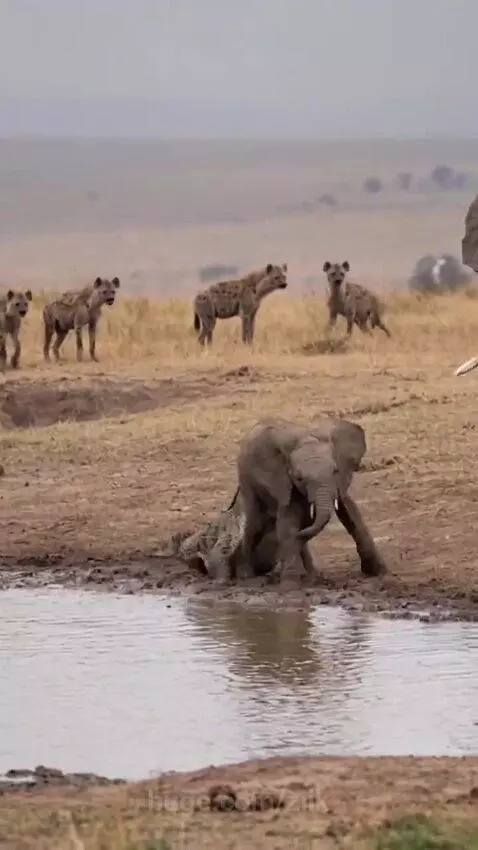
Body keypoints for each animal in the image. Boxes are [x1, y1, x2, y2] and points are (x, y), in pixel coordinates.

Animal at [236, 416, 387, 583]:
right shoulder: (282, 481)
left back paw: (311, 574)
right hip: (246, 479)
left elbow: (350, 511)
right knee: (255, 524)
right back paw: (247, 575)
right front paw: (291, 581)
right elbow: (288, 520)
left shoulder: (338, 480)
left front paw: (376, 571)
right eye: (299, 478)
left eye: (335, 470)